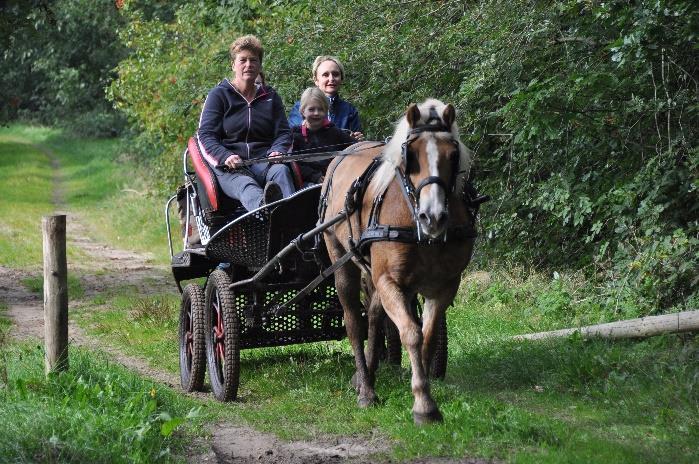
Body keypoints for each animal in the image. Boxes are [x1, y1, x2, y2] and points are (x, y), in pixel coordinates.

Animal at [322, 99, 476, 424]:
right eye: (411, 155)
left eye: (453, 154)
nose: (433, 217)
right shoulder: (389, 281)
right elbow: (411, 333)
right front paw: (423, 405)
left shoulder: (444, 285)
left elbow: (427, 336)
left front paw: (424, 388)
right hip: (340, 258)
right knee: (354, 321)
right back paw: (366, 389)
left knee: (373, 316)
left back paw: (366, 374)